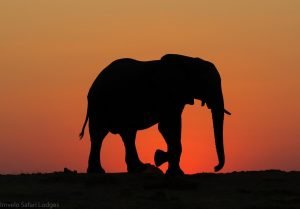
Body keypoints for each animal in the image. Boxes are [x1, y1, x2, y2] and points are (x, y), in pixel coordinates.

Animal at [78, 54, 231, 175]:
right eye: (208, 83)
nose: (215, 167)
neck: (188, 61)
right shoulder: (168, 95)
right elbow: (168, 127)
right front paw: (163, 160)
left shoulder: (178, 98)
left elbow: (170, 127)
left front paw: (167, 164)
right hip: (101, 104)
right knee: (101, 134)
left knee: (122, 134)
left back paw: (135, 169)